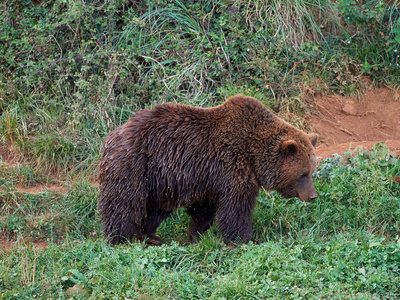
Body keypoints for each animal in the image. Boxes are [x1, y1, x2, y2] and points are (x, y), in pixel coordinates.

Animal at [99, 95, 318, 245]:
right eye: (302, 174)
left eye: (311, 171)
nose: (313, 196)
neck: (255, 156)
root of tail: (113, 134)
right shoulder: (232, 167)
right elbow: (236, 208)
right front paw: (244, 239)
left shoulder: (209, 179)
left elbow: (204, 210)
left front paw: (194, 235)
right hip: (134, 165)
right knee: (124, 203)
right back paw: (121, 238)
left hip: (160, 181)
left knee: (156, 208)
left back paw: (151, 235)